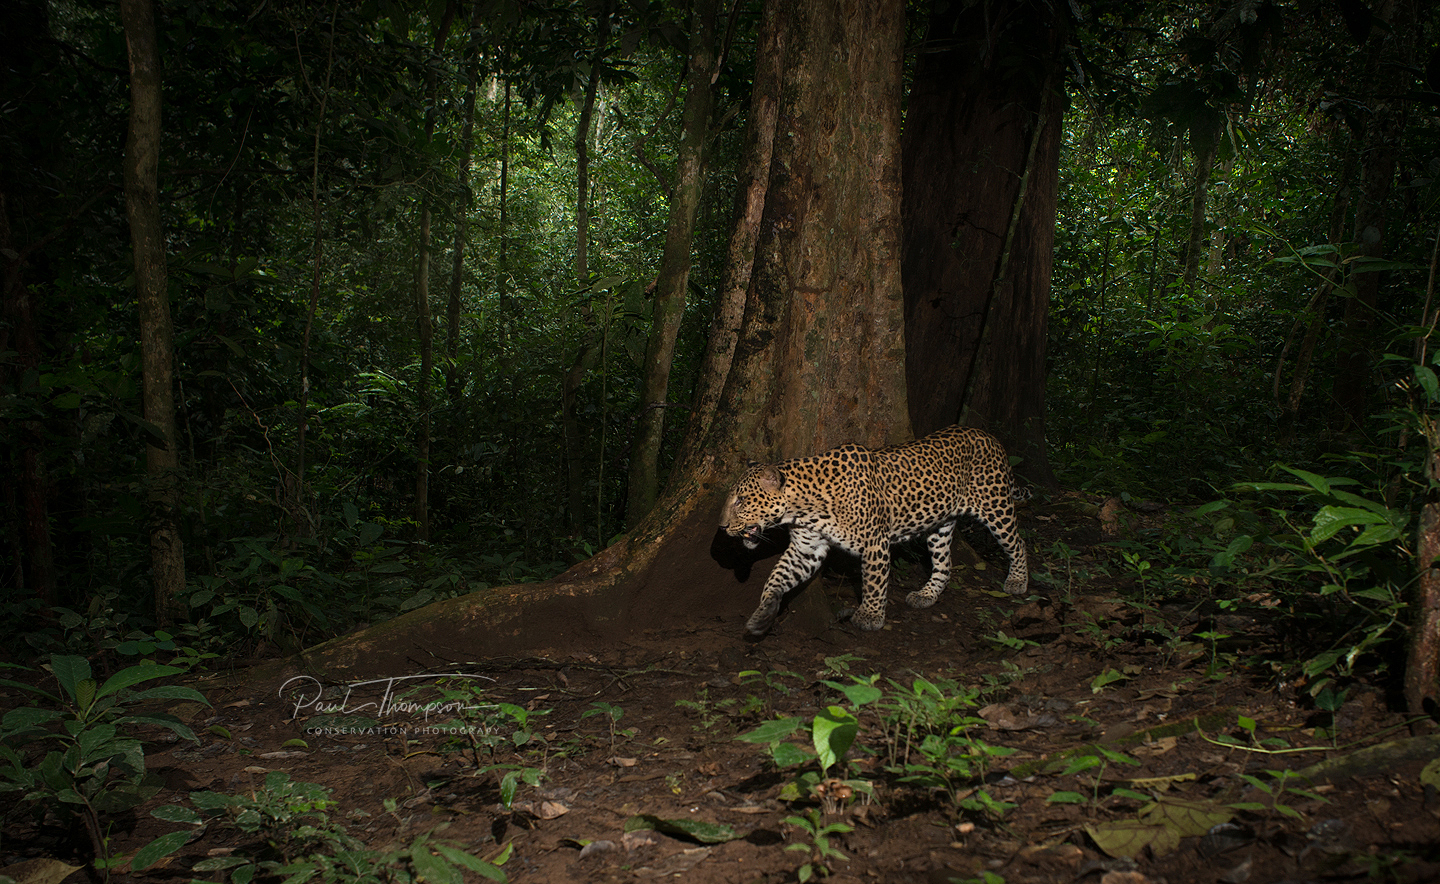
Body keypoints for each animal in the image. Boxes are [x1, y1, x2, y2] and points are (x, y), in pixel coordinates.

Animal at [719, 425, 1030, 635]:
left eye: (741, 500)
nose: (721, 526)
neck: (803, 508)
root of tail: (988, 435)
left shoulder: (875, 543)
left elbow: (873, 581)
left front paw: (869, 615)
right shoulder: (806, 548)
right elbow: (776, 578)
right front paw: (763, 613)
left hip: (995, 505)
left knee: (1018, 543)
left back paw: (1018, 580)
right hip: (940, 525)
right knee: (944, 563)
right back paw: (927, 594)